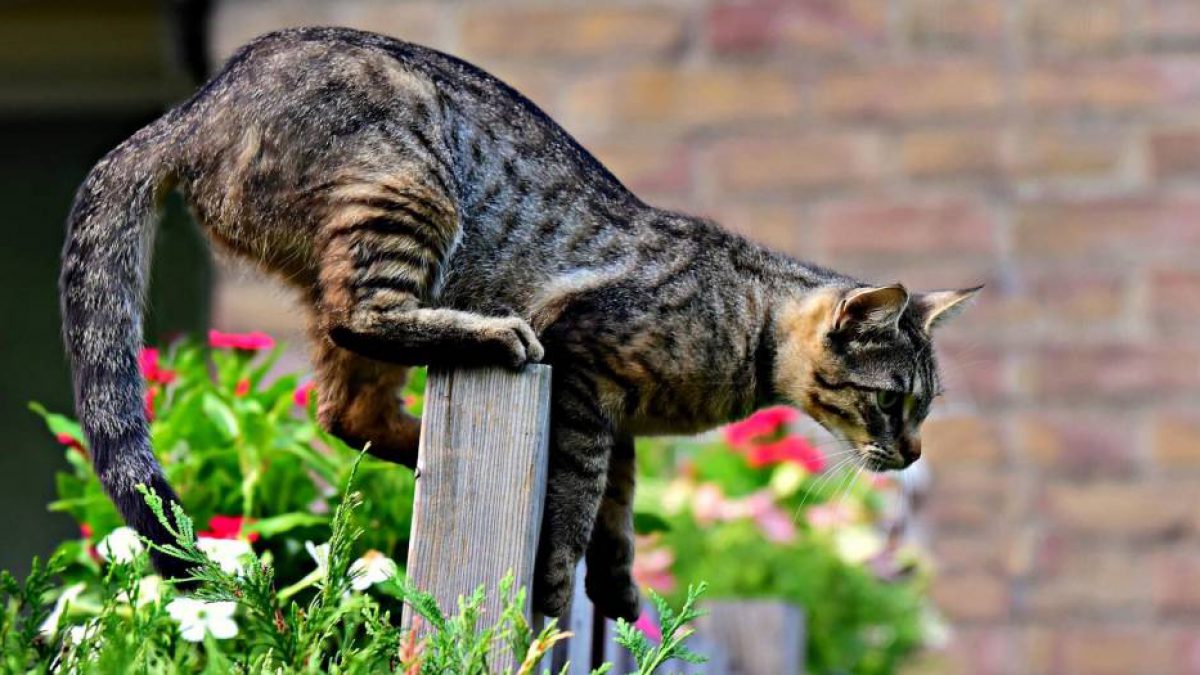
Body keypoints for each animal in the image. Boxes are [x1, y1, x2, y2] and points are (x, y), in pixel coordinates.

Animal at [60, 27, 979, 619]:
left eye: (923, 407)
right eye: (893, 401)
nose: (912, 453)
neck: (744, 327)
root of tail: (191, 108)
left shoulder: (619, 421)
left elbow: (617, 508)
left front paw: (618, 587)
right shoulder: (586, 374)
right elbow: (576, 503)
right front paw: (557, 585)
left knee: (346, 409)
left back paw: (423, 448)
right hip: (406, 191)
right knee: (365, 322)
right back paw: (493, 338)